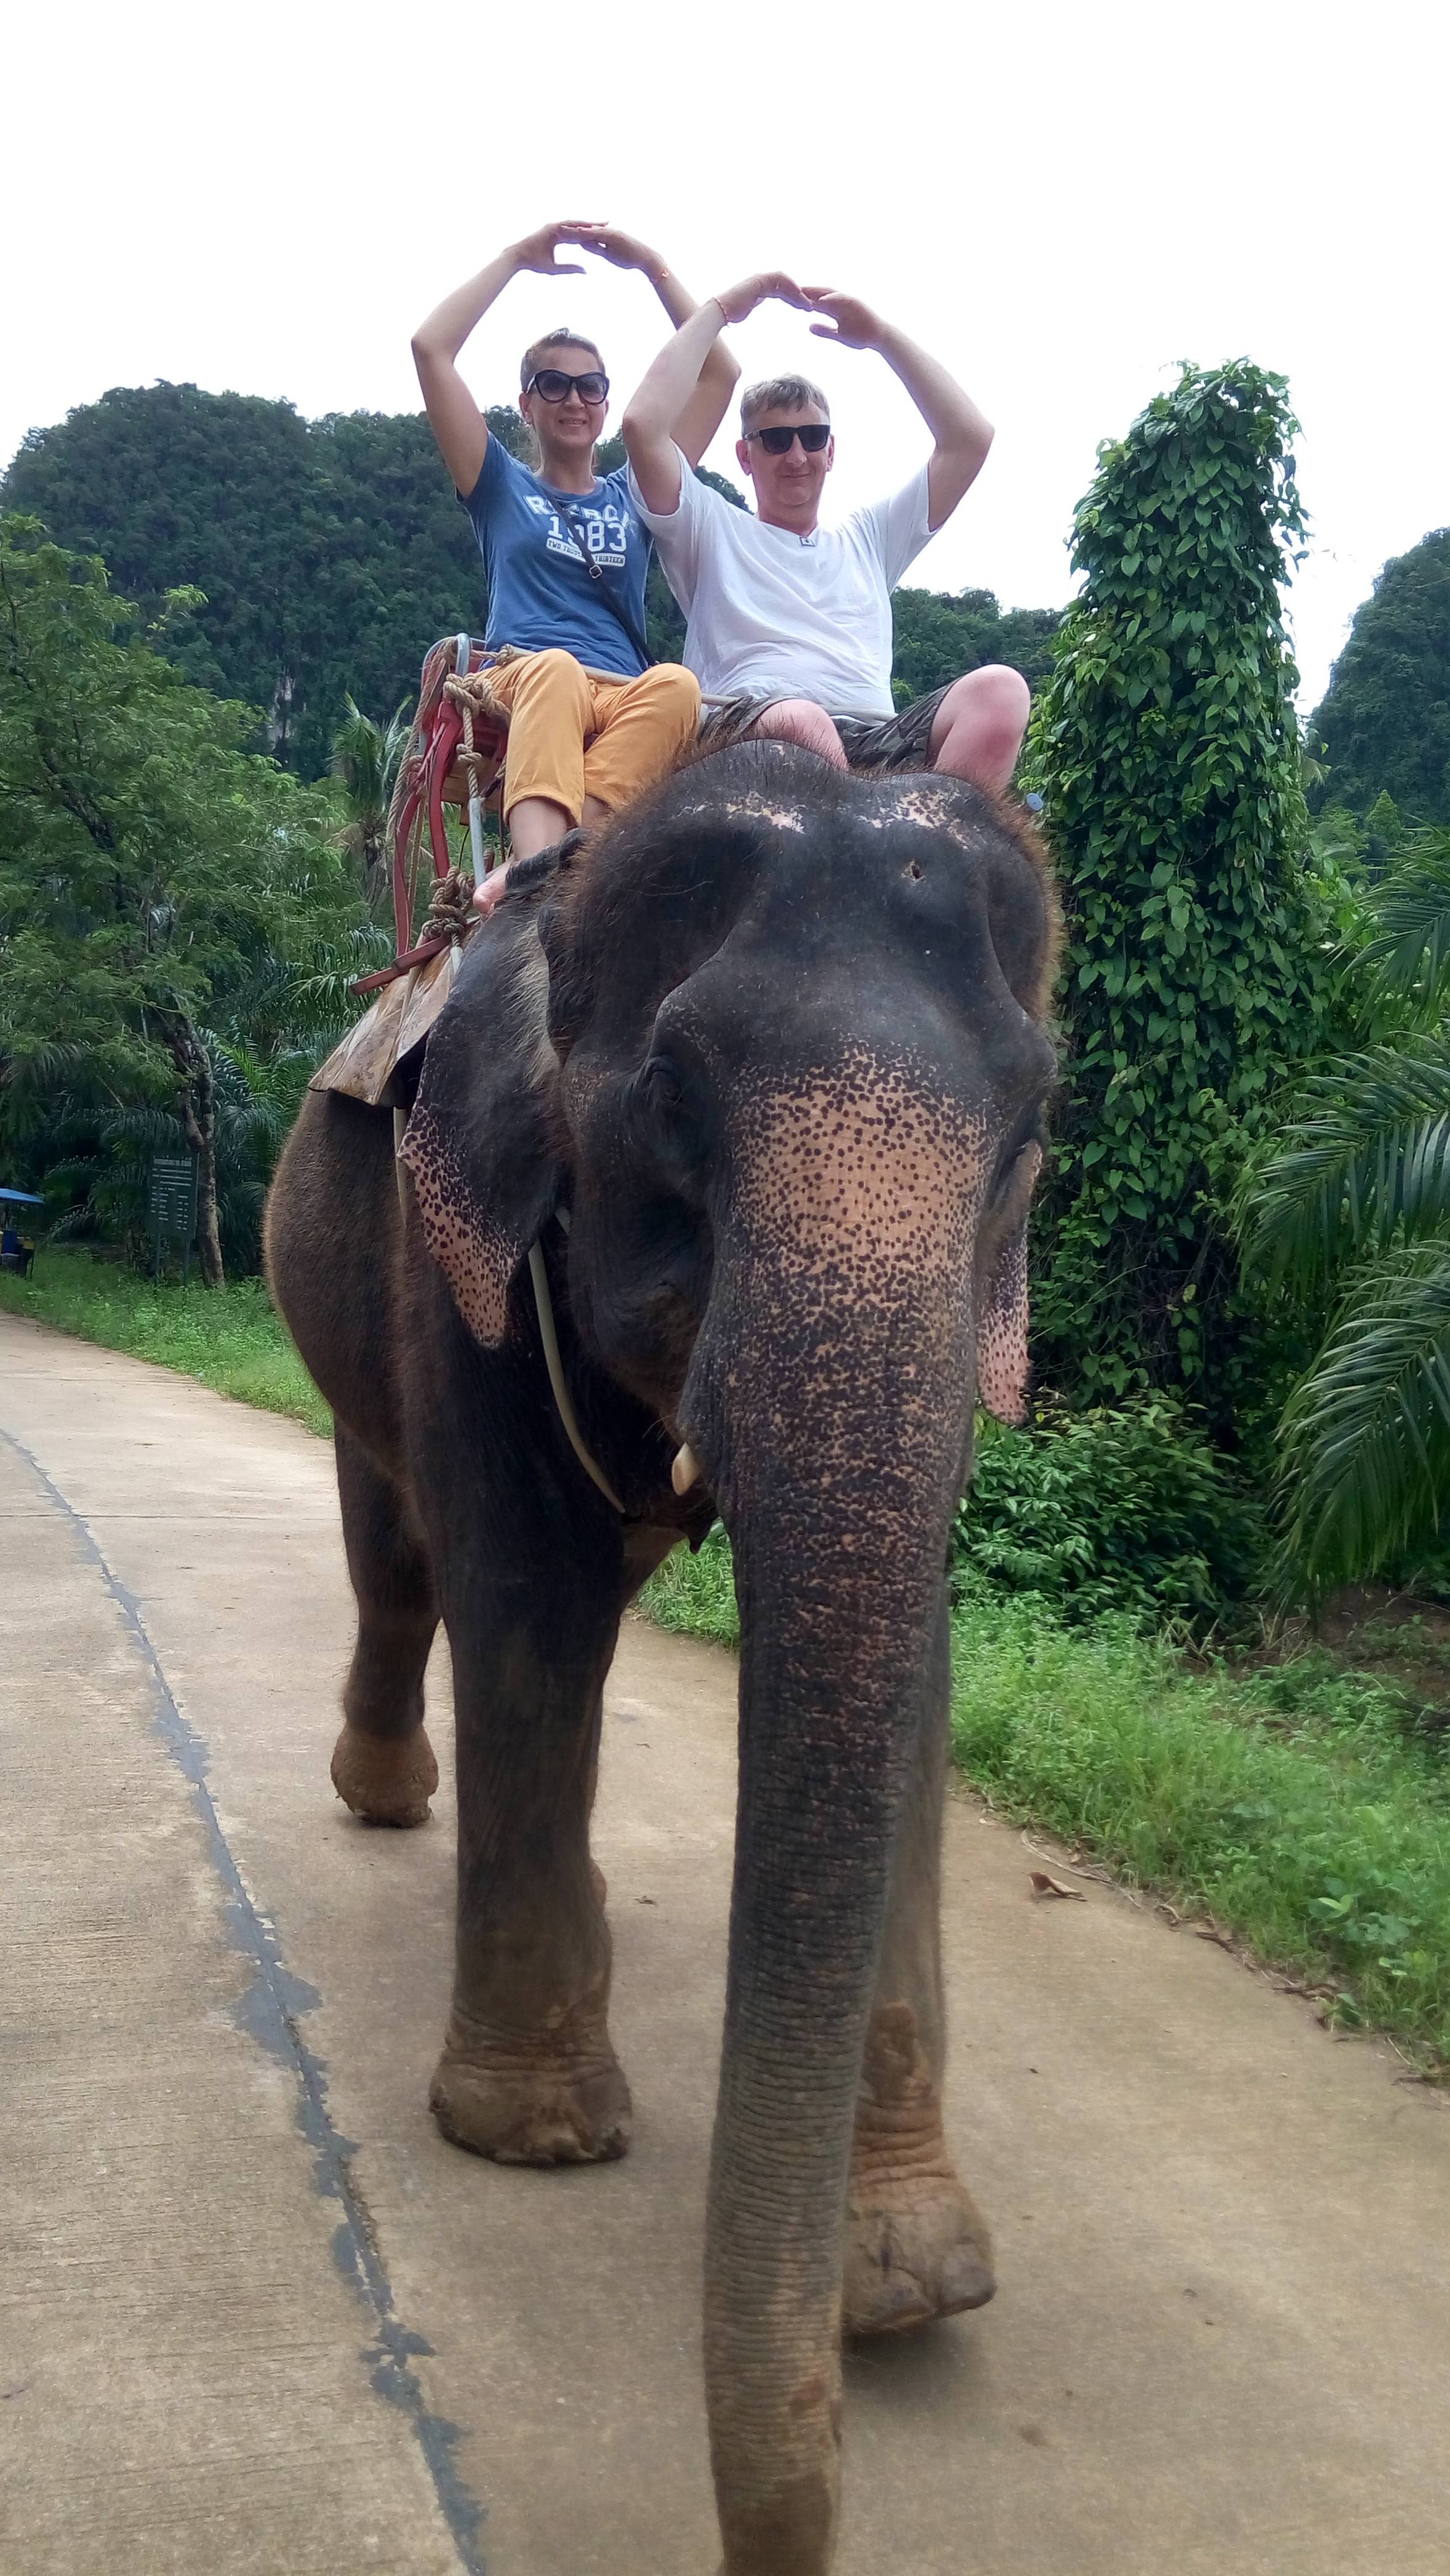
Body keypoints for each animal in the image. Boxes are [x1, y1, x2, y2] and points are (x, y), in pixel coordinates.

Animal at [264, 736, 1055, 2566]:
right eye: (671, 1100)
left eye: (1033, 1127)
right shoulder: (456, 1243)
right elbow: (526, 1597)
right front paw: (537, 2136)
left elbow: (911, 1677)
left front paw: (913, 2278)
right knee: (399, 1559)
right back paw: (386, 1797)